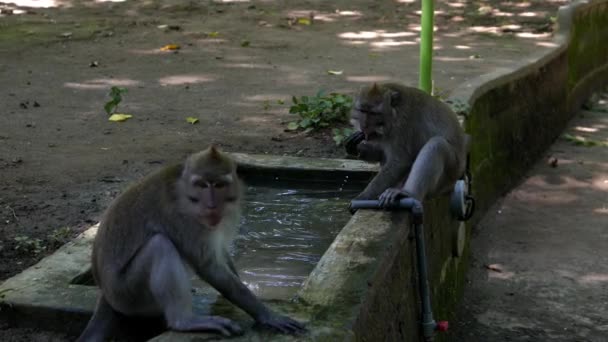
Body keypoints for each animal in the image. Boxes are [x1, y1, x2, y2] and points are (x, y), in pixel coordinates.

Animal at [76, 146, 306, 342]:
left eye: (219, 185)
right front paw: (266, 314)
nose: (211, 205)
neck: (184, 190)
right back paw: (184, 321)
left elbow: (221, 255)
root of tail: (105, 294)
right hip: (128, 294)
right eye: (201, 185)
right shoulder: (182, 218)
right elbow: (208, 266)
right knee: (160, 245)